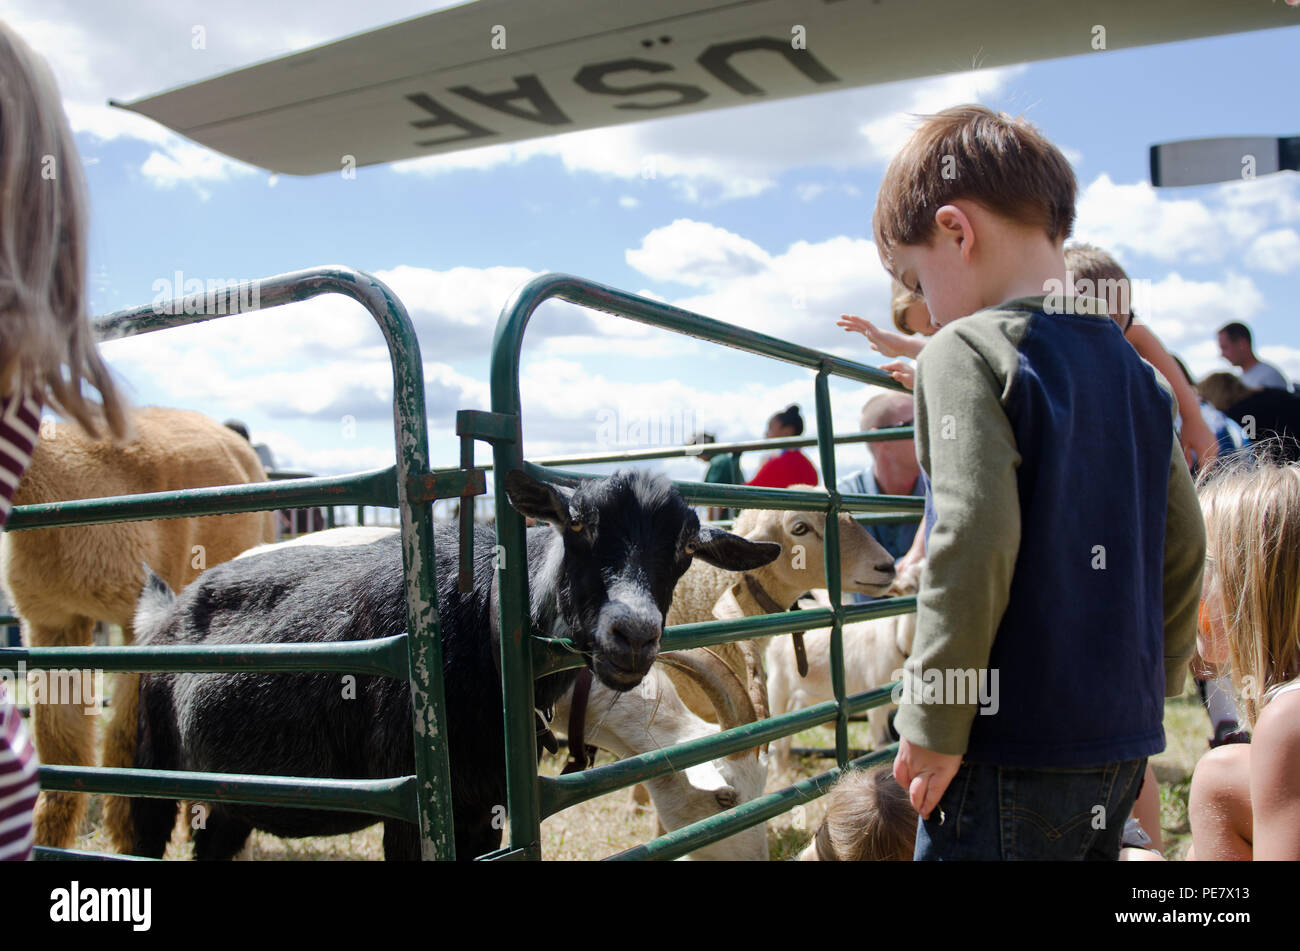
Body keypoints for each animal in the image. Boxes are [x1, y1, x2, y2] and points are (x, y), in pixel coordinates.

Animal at [122, 470, 774, 862]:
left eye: (686, 547)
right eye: (577, 524)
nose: (633, 634)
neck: (489, 617)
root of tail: (164, 612)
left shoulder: (487, 803)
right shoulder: (414, 807)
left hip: (225, 796)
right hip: (150, 765)